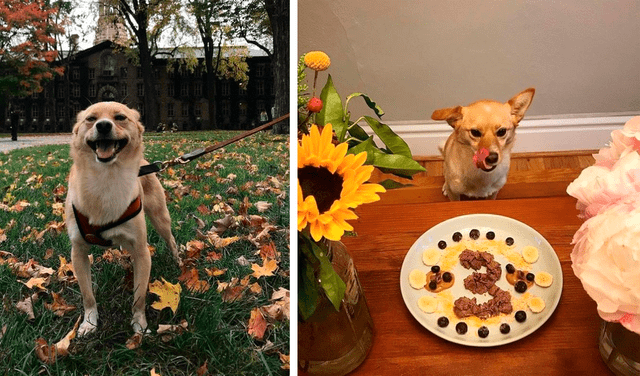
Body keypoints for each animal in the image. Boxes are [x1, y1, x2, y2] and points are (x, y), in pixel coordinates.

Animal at [66, 101, 180, 336]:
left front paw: (139, 324)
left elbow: (139, 296)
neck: (105, 178)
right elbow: (88, 295)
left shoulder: (142, 253)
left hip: (160, 218)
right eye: (90, 119)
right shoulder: (78, 253)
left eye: (120, 117)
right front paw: (89, 322)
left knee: (171, 239)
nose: (103, 125)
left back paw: (178, 260)